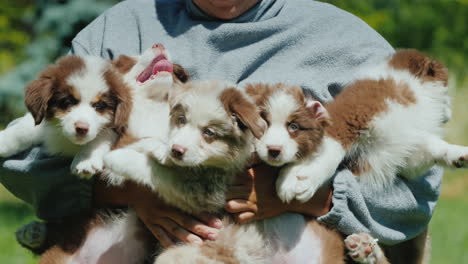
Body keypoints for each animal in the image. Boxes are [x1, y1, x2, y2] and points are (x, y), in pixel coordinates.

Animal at [0, 54, 132, 177]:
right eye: (67, 102)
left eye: (99, 105)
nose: (81, 128)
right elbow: (24, 129)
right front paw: (3, 140)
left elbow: (103, 135)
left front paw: (86, 160)